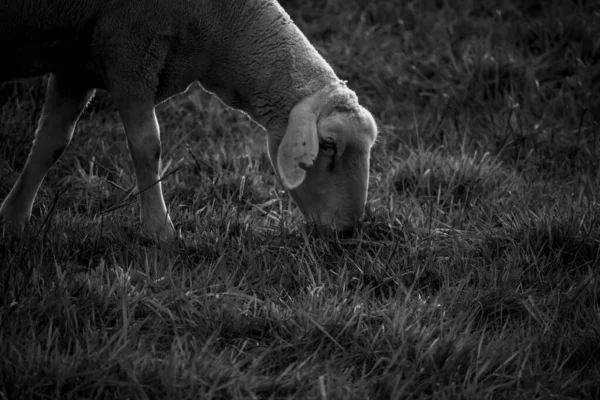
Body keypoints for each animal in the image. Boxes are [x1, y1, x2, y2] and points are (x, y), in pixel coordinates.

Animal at [0, 0, 376, 241]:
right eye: (329, 144)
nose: (348, 232)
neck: (221, 28)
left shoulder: (75, 66)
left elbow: (50, 143)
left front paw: (13, 221)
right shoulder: (130, 52)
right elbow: (147, 146)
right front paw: (160, 231)